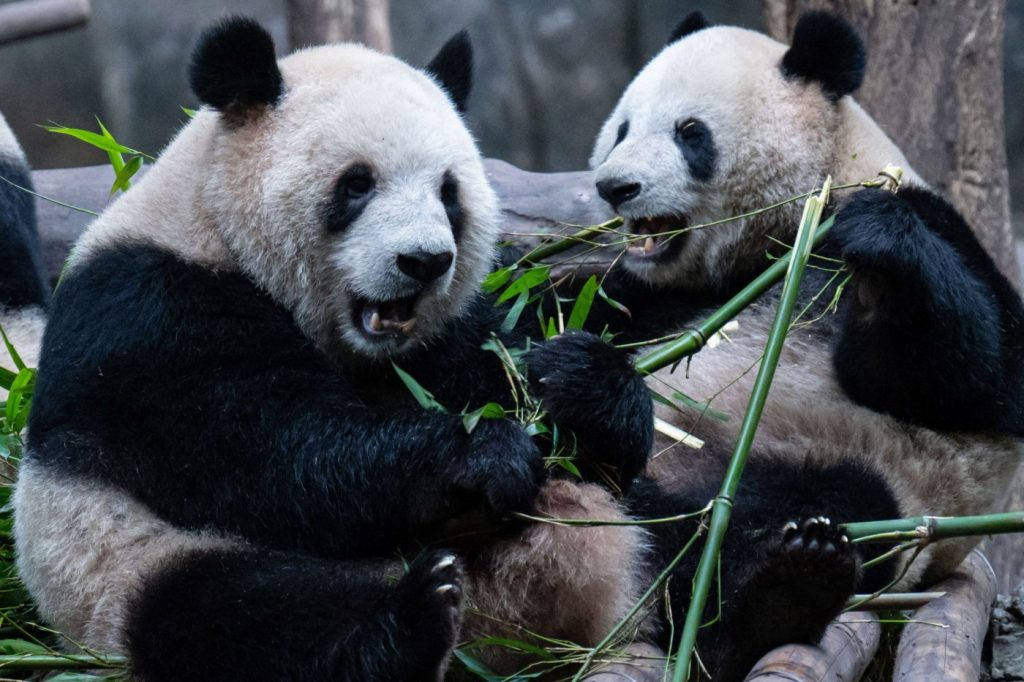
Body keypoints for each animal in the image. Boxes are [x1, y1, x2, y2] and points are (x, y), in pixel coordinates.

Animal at [12, 17, 655, 679]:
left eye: (448, 191)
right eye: (357, 184)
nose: (424, 262)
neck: (216, 225)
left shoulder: (443, 337)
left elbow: (524, 385)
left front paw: (578, 381)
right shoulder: (151, 312)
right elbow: (274, 455)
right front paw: (480, 452)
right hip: (126, 567)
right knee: (246, 619)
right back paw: (410, 622)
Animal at [585, 10, 1024, 679]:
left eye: (690, 133)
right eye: (622, 130)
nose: (616, 186)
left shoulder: (927, 226)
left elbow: (973, 377)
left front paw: (879, 245)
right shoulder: (659, 296)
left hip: (869, 475)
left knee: (796, 514)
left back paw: (775, 593)